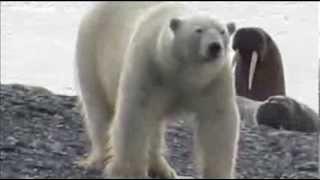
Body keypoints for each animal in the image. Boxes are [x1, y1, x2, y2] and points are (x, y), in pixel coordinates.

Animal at [75, 1, 240, 179]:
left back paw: (162, 168)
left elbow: (217, 120)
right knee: (98, 110)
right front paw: (129, 172)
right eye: (198, 30)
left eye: (222, 31)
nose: (215, 47)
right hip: (91, 53)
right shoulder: (147, 65)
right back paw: (98, 160)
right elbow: (135, 114)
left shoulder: (215, 80)